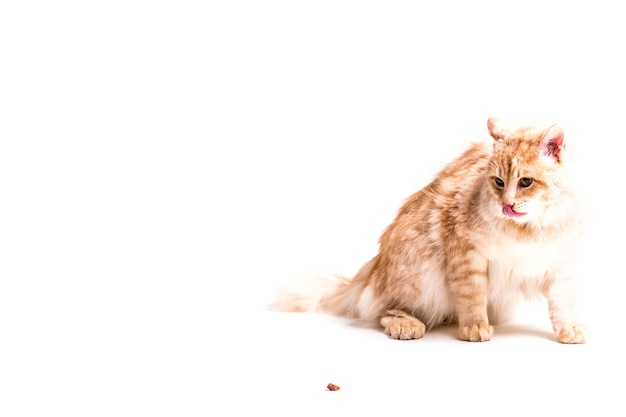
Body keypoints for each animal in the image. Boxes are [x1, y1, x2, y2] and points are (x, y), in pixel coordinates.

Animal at [278, 116, 584, 342]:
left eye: (525, 182)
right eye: (498, 182)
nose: (506, 205)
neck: (531, 228)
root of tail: (369, 274)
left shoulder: (561, 264)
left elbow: (562, 305)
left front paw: (569, 331)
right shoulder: (466, 256)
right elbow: (472, 297)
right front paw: (474, 328)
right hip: (418, 272)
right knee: (380, 310)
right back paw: (407, 325)